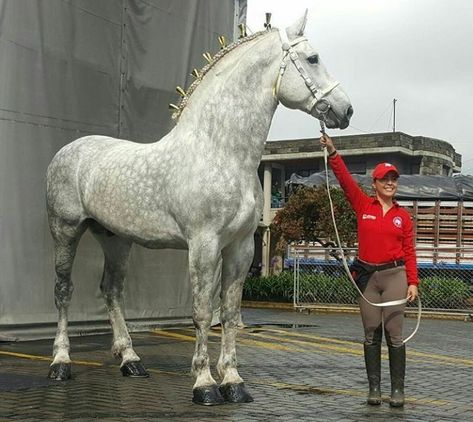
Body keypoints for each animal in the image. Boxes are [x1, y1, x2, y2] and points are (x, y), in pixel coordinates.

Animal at [47, 11, 350, 404]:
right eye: (313, 59)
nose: (345, 110)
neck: (220, 151)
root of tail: (67, 151)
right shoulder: (203, 245)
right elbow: (203, 313)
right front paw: (204, 384)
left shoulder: (240, 247)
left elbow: (231, 312)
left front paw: (234, 382)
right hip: (65, 230)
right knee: (63, 291)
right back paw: (61, 363)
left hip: (116, 239)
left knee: (112, 290)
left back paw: (131, 361)